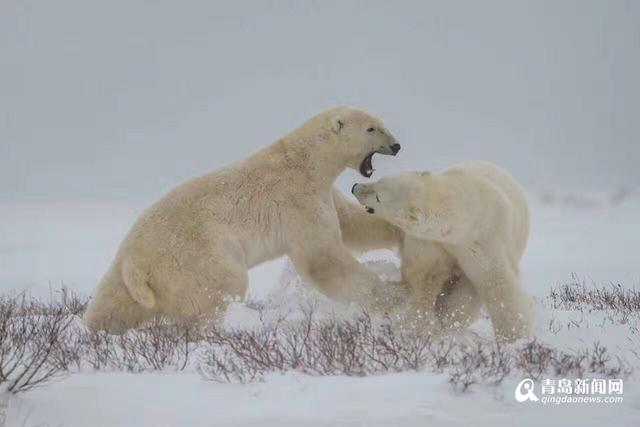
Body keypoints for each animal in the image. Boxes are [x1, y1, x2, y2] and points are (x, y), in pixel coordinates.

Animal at [83, 106, 401, 333]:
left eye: (381, 122)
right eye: (371, 128)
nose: (397, 145)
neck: (306, 161)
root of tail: (136, 264)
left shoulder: (322, 194)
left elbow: (351, 223)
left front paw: (399, 233)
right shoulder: (297, 200)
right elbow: (323, 258)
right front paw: (388, 297)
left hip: (132, 274)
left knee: (114, 301)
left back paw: (97, 328)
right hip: (197, 256)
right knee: (223, 287)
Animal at [350, 161, 532, 341]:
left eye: (378, 197)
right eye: (379, 181)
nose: (355, 187)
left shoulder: (484, 240)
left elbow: (496, 282)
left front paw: (515, 337)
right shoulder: (431, 242)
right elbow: (426, 276)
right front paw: (418, 323)